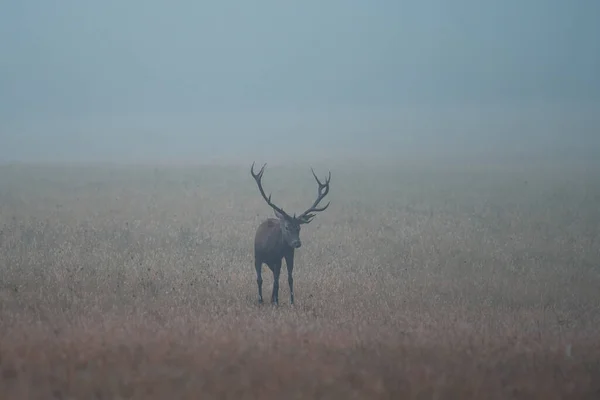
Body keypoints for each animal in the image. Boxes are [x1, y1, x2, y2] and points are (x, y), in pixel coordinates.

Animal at [250, 161, 330, 304]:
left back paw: (289, 301)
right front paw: (260, 300)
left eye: (299, 228)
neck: (269, 248)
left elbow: (278, 280)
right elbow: (259, 279)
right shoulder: (257, 257)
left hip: (288, 255)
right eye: (287, 227)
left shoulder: (279, 258)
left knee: (288, 278)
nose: (297, 243)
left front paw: (275, 301)